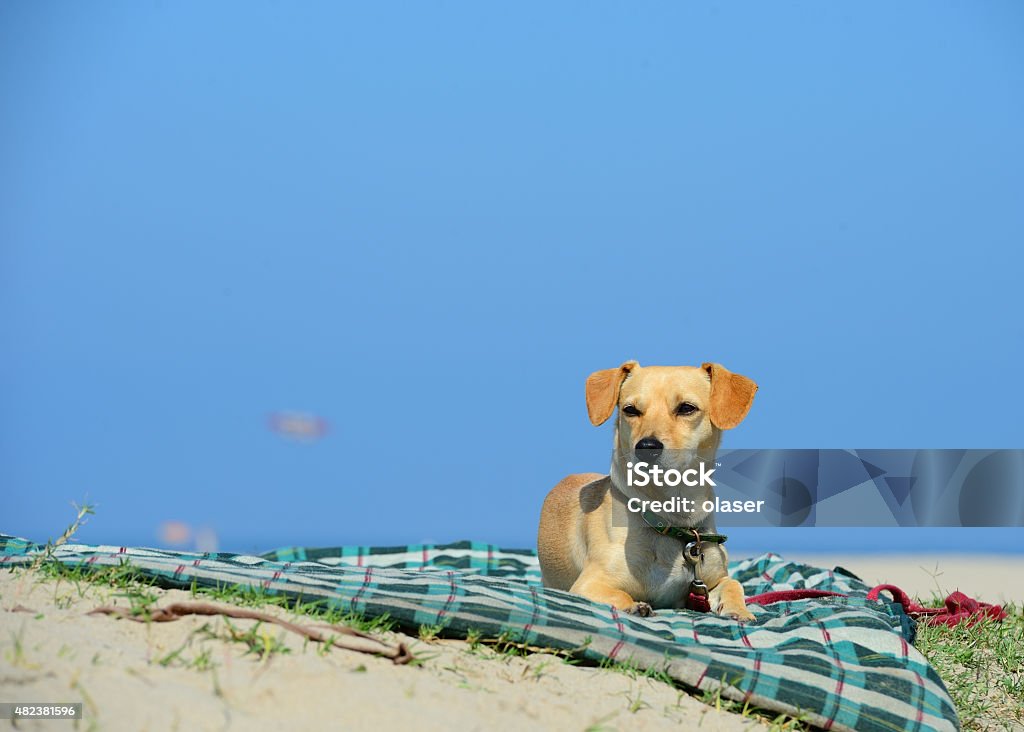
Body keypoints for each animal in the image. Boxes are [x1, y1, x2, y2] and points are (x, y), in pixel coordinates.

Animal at [540, 360, 757, 618]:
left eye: (686, 408)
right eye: (630, 410)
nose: (646, 447)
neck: (672, 519)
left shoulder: (710, 581)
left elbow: (733, 584)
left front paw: (739, 611)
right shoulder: (588, 584)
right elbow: (618, 594)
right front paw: (634, 606)